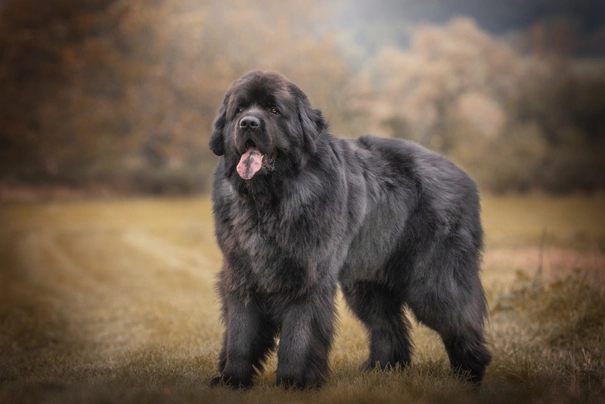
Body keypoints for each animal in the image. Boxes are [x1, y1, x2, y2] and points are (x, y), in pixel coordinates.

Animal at [208, 70, 490, 388]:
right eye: (240, 110)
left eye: (274, 110)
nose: (248, 123)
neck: (269, 200)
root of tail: (463, 176)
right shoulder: (242, 271)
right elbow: (240, 332)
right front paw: (232, 380)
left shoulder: (307, 275)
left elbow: (298, 334)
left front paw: (294, 382)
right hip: (367, 280)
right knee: (387, 324)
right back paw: (381, 369)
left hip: (433, 278)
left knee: (457, 318)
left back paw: (468, 373)